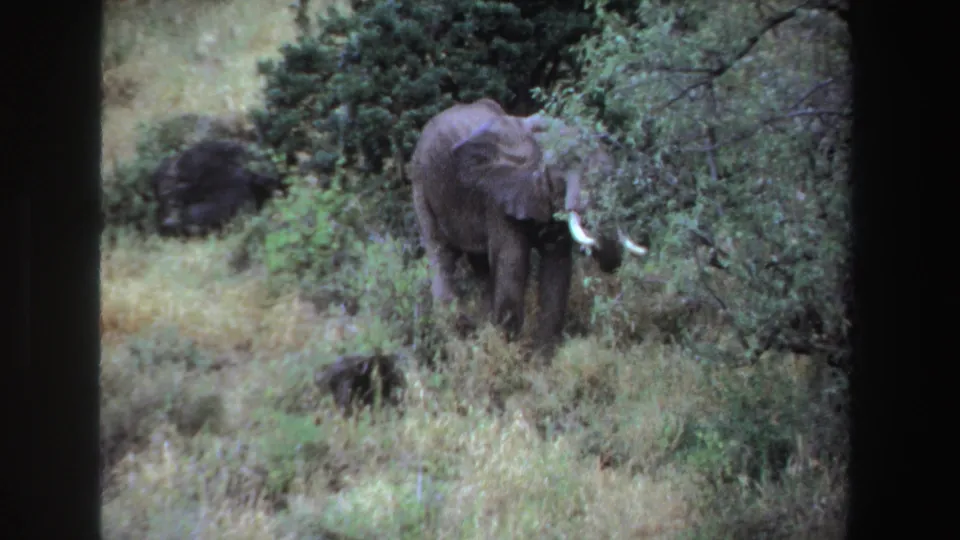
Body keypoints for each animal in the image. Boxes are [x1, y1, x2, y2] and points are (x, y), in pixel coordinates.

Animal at [408, 98, 647, 355]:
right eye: (565, 166)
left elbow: (557, 268)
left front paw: (543, 357)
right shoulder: (498, 196)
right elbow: (513, 263)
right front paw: (510, 352)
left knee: (480, 266)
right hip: (421, 186)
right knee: (440, 254)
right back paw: (455, 340)